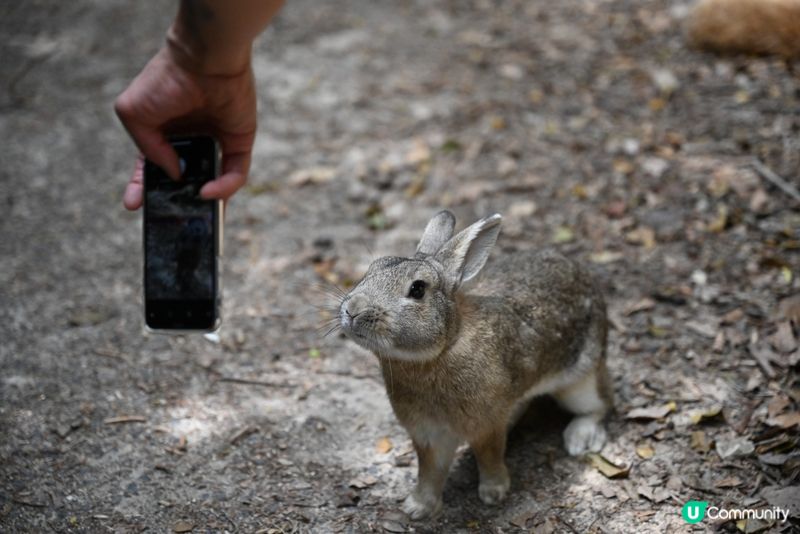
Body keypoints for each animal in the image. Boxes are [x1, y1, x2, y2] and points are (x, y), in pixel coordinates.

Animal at [338, 211, 612, 520]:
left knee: (600, 405)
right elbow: (430, 471)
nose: (352, 310)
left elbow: (489, 456)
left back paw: (581, 438)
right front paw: (417, 507)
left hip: (581, 380)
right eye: (371, 269)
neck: (439, 352)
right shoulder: (427, 434)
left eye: (417, 289)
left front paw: (494, 493)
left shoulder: (486, 424)